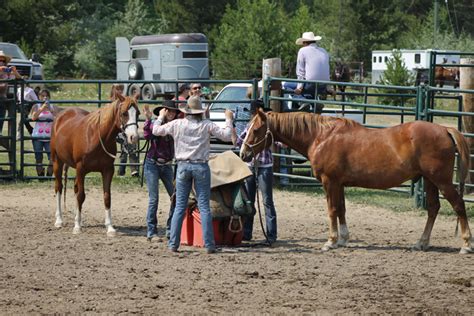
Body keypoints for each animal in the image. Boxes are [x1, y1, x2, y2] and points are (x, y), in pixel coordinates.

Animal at [52, 95, 141, 236]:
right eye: (124, 113)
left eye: (138, 113)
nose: (134, 137)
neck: (97, 137)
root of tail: (61, 116)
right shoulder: (81, 169)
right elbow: (81, 196)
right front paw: (77, 227)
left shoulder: (108, 170)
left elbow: (107, 197)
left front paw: (110, 227)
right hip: (57, 162)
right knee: (59, 188)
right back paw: (59, 220)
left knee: (75, 189)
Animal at [241, 111, 474, 254]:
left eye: (255, 130)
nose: (243, 153)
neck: (321, 136)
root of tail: (444, 129)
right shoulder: (339, 184)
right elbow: (342, 210)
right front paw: (343, 239)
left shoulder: (330, 182)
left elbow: (332, 210)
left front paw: (330, 241)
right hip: (430, 181)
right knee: (433, 208)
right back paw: (421, 243)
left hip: (441, 181)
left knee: (458, 205)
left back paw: (465, 244)